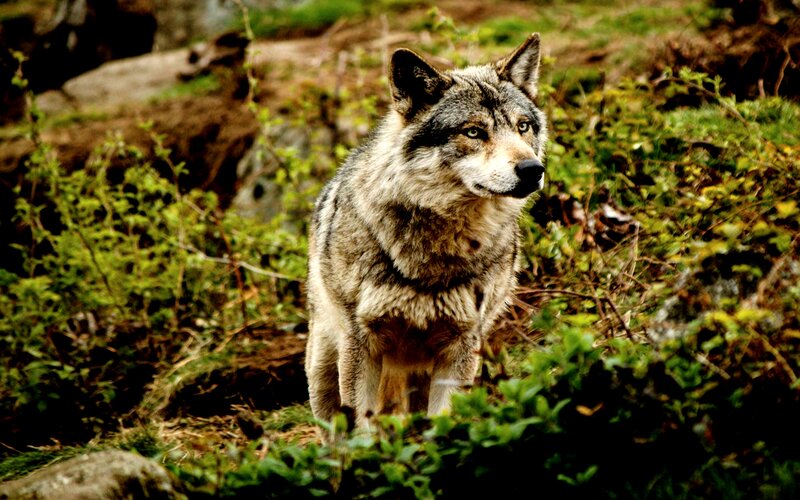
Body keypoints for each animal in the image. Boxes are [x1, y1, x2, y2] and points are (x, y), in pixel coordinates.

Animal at [305, 34, 548, 428]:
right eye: (474, 132)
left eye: (522, 126)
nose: (532, 169)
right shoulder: (361, 344)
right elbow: (364, 427)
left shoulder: (462, 346)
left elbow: (445, 420)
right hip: (324, 375)